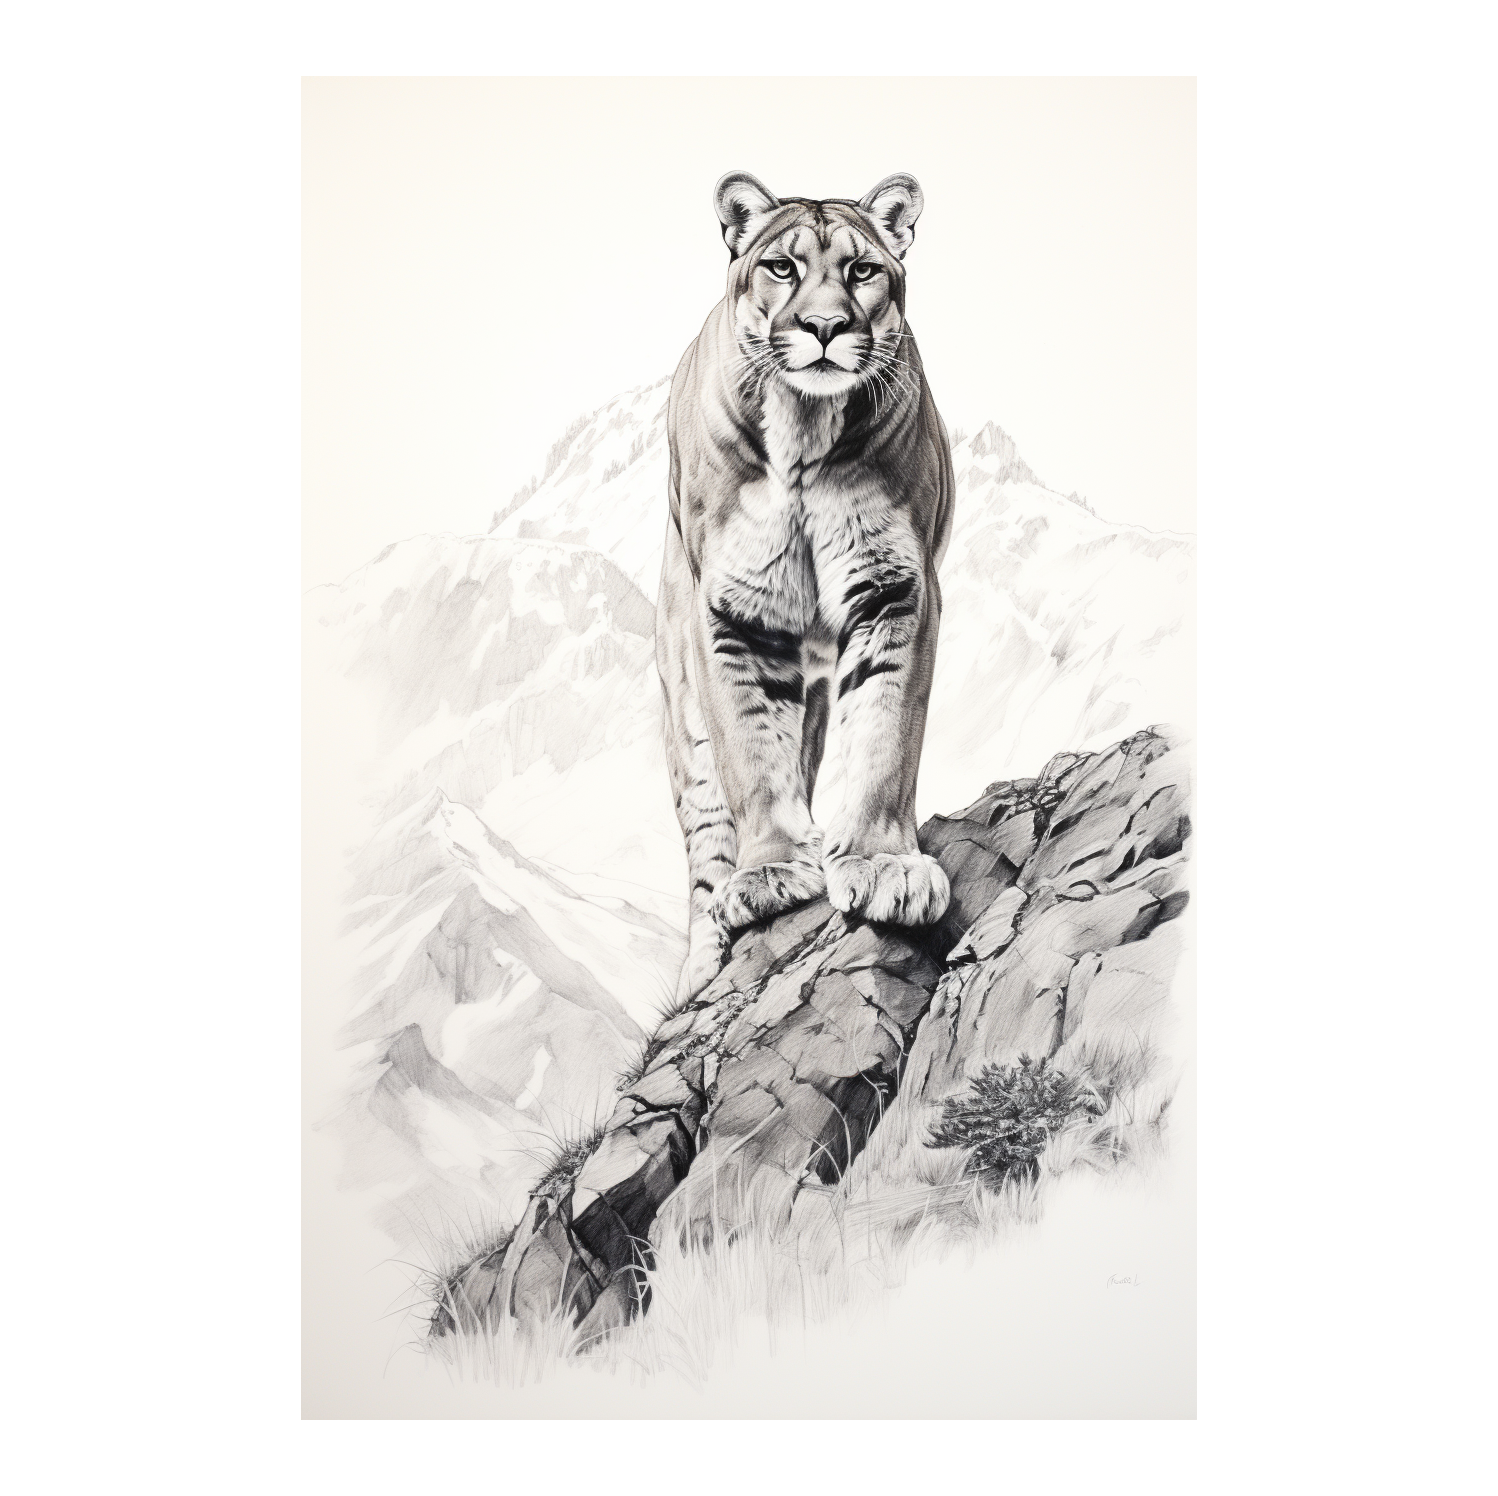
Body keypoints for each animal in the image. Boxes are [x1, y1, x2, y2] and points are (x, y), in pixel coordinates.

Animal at [657, 171, 956, 1000]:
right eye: (782, 268)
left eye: (862, 270)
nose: (825, 327)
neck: (804, 432)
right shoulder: (731, 613)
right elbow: (752, 751)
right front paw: (772, 876)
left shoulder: (896, 590)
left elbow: (885, 735)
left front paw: (883, 867)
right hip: (683, 717)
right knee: (704, 838)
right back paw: (702, 967)